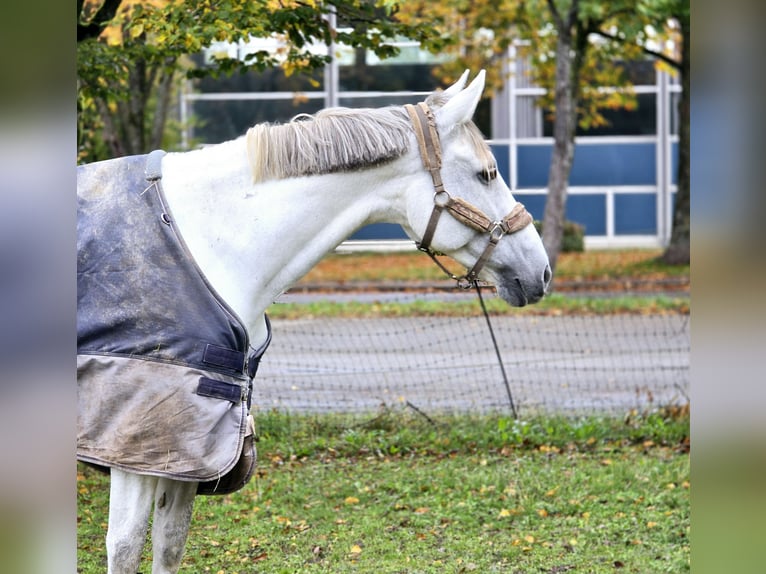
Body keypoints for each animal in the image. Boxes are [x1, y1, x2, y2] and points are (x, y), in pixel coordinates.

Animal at [78, 70, 552, 572]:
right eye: (487, 173)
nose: (541, 271)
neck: (210, 242)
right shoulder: (136, 446)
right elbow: (126, 548)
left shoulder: (188, 453)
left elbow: (169, 546)